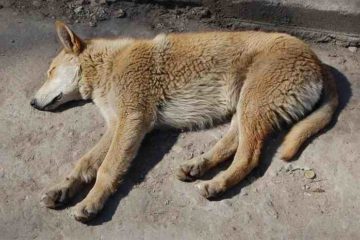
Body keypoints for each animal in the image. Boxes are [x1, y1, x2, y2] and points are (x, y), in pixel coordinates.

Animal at [31, 21, 338, 222]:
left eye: (50, 71)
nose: (32, 103)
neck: (107, 65)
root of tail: (316, 58)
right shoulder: (116, 125)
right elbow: (85, 163)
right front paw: (62, 189)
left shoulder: (132, 120)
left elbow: (107, 168)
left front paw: (92, 202)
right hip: (245, 107)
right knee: (233, 143)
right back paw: (198, 165)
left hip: (253, 104)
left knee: (248, 157)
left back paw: (217, 184)